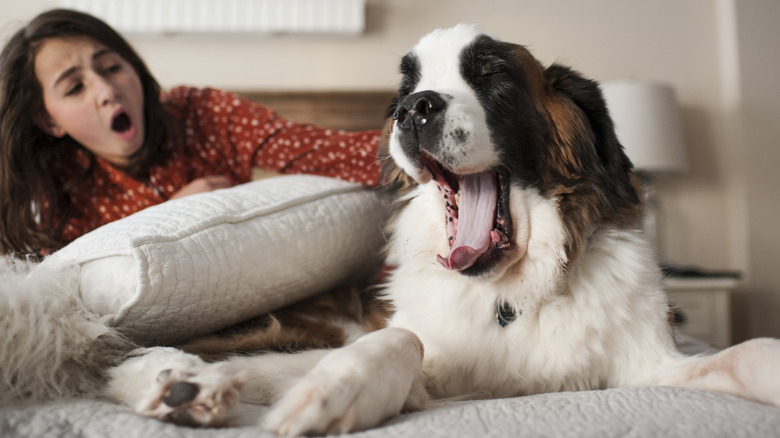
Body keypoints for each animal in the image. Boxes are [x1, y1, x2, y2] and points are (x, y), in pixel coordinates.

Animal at [108, 25, 780, 436]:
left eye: (490, 75)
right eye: (406, 89)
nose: (413, 109)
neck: (512, 294)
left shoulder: (647, 365)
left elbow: (750, 352)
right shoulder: (400, 347)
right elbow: (400, 341)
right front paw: (333, 392)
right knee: (146, 353)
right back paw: (184, 383)